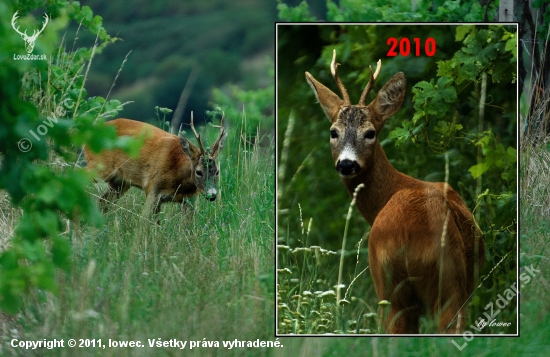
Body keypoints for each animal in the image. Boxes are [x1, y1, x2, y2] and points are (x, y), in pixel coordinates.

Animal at [84, 114, 226, 220]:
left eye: (217, 172)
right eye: (199, 172)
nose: (212, 195)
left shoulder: (190, 199)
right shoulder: (152, 189)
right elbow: (148, 223)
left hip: (120, 183)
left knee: (102, 202)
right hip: (99, 166)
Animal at [306, 50, 488, 334]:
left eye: (370, 133)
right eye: (333, 132)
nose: (346, 164)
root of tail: (406, 238)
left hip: (394, 284)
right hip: (442, 283)